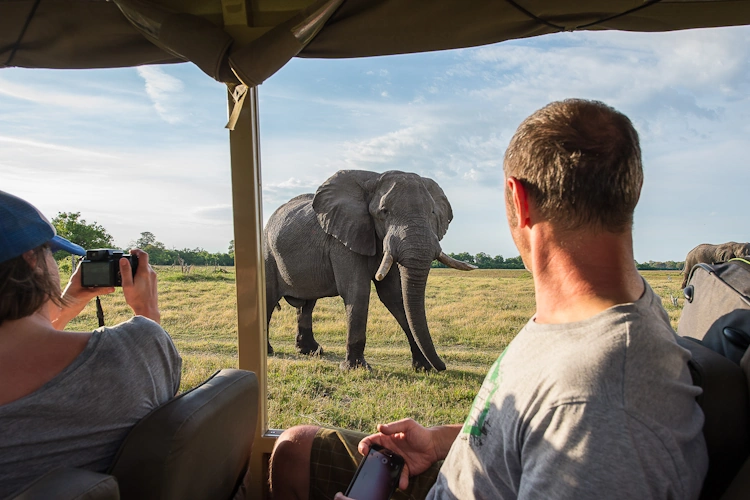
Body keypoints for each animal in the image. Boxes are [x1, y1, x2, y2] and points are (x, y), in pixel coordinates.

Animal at [264, 170, 476, 370]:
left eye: (432, 212)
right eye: (384, 211)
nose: (443, 366)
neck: (373, 179)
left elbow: (394, 295)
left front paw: (423, 367)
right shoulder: (343, 238)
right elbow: (357, 291)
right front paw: (355, 369)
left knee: (308, 304)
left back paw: (312, 351)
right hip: (267, 252)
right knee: (269, 299)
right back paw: (269, 351)